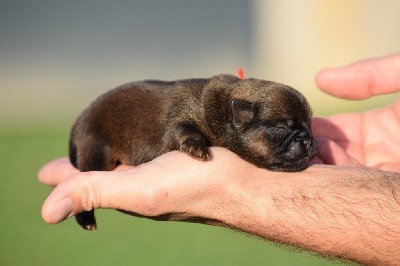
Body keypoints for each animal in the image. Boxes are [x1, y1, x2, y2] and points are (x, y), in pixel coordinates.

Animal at [69, 74, 318, 230]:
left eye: (309, 125)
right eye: (283, 127)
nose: (308, 140)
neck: (222, 109)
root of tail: (77, 123)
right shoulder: (179, 120)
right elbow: (184, 130)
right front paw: (196, 148)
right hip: (94, 147)